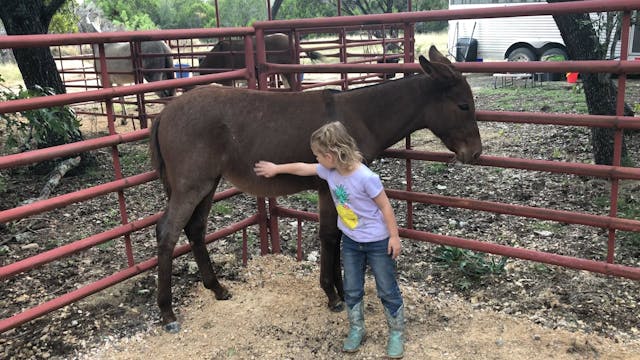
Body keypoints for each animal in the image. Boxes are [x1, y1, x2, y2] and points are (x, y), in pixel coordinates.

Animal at [149, 46, 480, 334]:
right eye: (463, 105)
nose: (475, 154)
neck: (361, 117)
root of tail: (164, 113)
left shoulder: (330, 187)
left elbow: (334, 234)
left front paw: (341, 292)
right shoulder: (329, 184)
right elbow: (331, 236)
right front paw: (334, 296)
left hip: (208, 183)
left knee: (195, 228)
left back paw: (217, 288)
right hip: (191, 184)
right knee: (168, 232)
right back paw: (167, 313)